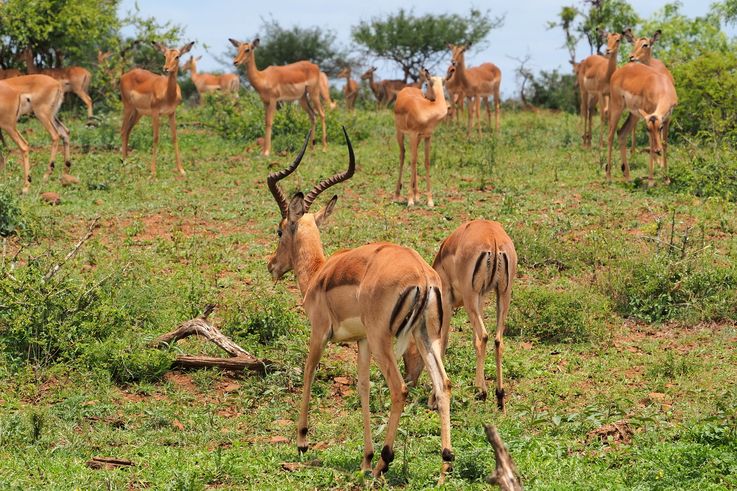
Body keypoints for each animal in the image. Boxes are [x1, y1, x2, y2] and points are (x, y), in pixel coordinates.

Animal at [120, 41, 194, 177]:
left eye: (177, 56)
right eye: (164, 55)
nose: (166, 68)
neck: (168, 94)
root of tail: (124, 76)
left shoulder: (171, 113)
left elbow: (174, 137)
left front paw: (181, 170)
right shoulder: (155, 113)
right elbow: (155, 138)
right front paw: (153, 171)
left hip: (138, 112)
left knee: (127, 130)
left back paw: (127, 160)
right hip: (128, 107)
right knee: (123, 130)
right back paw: (124, 163)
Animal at [267, 129, 454, 482]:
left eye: (280, 229)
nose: (271, 265)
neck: (320, 273)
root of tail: (423, 274)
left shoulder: (320, 333)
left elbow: (309, 372)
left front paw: (302, 441)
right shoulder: (362, 341)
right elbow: (363, 387)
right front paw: (365, 458)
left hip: (386, 341)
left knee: (399, 388)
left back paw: (385, 461)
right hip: (425, 337)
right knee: (443, 385)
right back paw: (444, 465)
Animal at [393, 68, 447, 207]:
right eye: (426, 84)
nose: (428, 97)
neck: (426, 109)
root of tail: (406, 89)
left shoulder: (427, 136)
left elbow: (426, 162)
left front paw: (429, 201)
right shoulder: (413, 134)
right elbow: (412, 161)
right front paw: (410, 200)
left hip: (418, 138)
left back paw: (417, 195)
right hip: (400, 133)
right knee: (402, 155)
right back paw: (397, 195)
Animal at [405, 220, 517, 412]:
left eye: (408, 352)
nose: (409, 381)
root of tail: (493, 237)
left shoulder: (446, 300)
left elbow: (443, 342)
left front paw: (433, 399)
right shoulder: (481, 298)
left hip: (471, 296)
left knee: (484, 335)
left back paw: (482, 391)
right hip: (502, 294)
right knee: (497, 340)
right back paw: (499, 396)